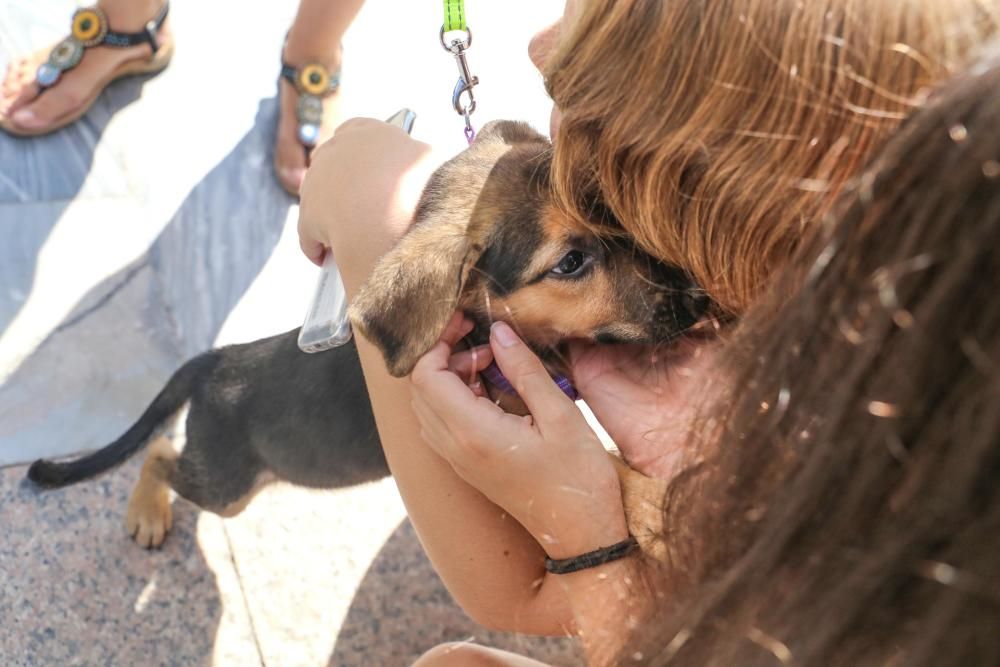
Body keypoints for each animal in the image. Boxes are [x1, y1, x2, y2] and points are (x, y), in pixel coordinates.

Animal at [27, 121, 708, 560]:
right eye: (571, 262)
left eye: (615, 218)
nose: (701, 298)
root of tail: (218, 357)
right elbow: (603, 472)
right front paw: (662, 506)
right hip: (228, 484)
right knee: (158, 454)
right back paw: (147, 512)